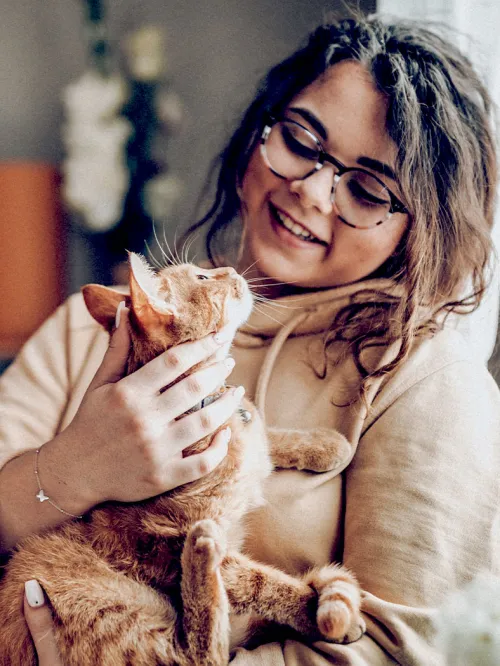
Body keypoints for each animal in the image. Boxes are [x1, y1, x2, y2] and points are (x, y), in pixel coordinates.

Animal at [0, 252, 364, 660]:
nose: (231, 270)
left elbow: (267, 436)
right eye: (203, 278)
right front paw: (312, 608)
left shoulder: (245, 427)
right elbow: (260, 582)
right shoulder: (163, 540)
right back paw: (201, 555)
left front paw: (326, 445)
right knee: (198, 655)